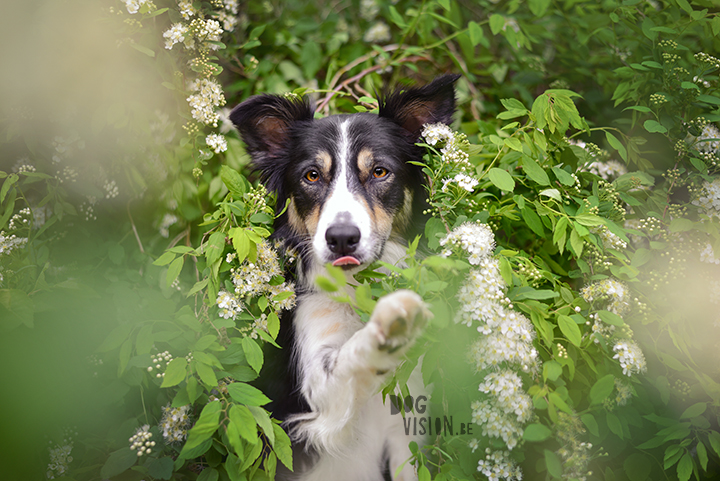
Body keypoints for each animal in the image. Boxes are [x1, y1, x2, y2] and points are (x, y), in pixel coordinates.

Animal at [228, 73, 458, 478]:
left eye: (379, 171)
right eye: (312, 175)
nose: (341, 239)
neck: (356, 292)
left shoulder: (404, 435)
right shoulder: (317, 397)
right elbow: (351, 354)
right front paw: (391, 322)